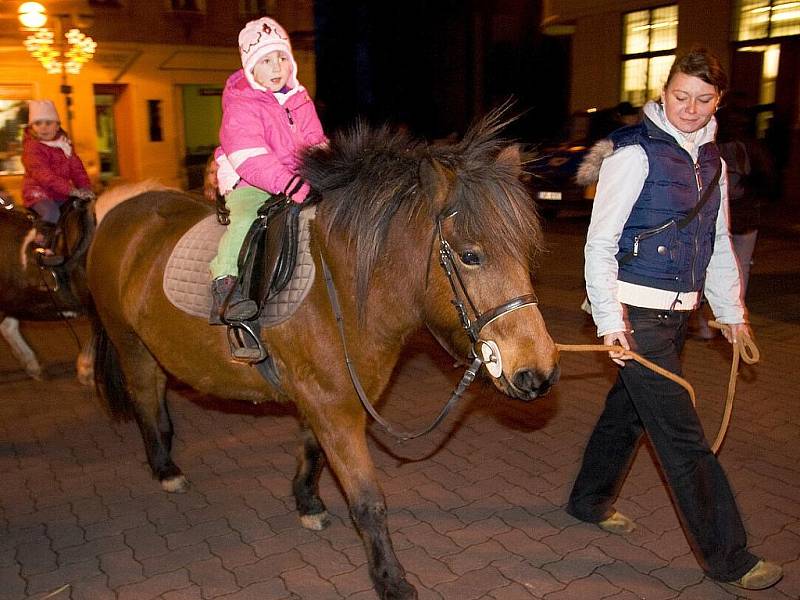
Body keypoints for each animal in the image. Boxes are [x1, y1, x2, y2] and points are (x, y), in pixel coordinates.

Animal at [87, 113, 560, 600]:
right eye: (470, 256)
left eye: (526, 251)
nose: (537, 371)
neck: (342, 290)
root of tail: (119, 209)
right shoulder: (334, 408)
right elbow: (368, 500)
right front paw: (391, 579)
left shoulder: (325, 400)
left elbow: (311, 450)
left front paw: (308, 502)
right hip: (129, 342)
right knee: (145, 397)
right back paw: (164, 467)